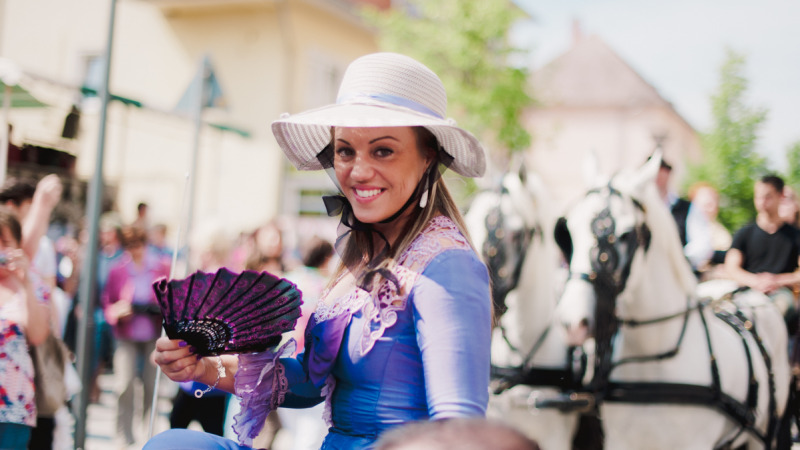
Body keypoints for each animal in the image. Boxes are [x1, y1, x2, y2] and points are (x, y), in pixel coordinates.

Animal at [552, 153, 792, 448]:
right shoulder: (620, 441)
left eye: (625, 235)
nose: (573, 323)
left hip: (763, 432)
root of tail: (747, 291)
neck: (652, 360)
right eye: (569, 232)